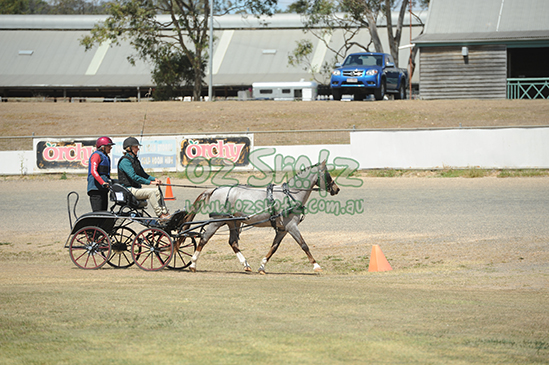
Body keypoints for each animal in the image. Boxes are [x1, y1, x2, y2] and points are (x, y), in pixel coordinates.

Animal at [188, 161, 338, 272]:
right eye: (327, 174)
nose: (336, 189)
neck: (290, 194)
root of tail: (216, 189)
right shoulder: (291, 226)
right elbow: (304, 245)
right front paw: (316, 266)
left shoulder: (282, 229)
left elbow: (274, 247)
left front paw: (262, 266)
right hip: (216, 221)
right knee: (204, 238)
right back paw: (193, 264)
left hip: (232, 221)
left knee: (233, 242)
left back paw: (246, 265)